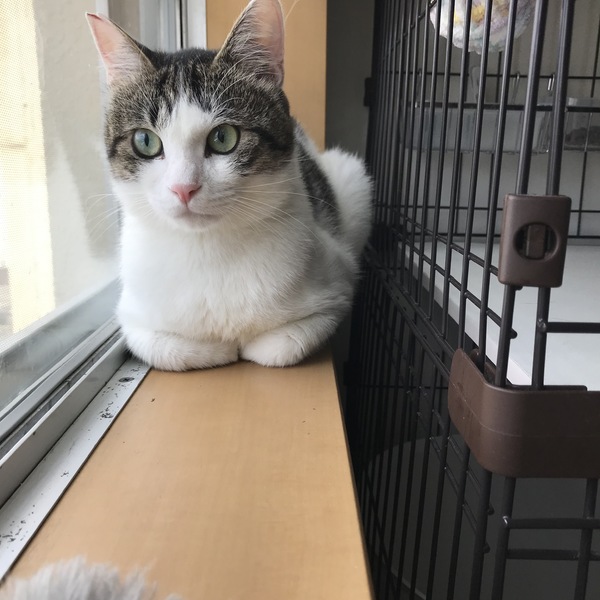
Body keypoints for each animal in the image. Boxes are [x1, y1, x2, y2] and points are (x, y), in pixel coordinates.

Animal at [87, 0, 372, 371]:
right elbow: (165, 347)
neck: (207, 251)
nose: (184, 188)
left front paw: (244, 345)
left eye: (223, 137)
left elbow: (282, 345)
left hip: (354, 178)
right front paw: (215, 348)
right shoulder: (132, 318)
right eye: (145, 141)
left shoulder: (338, 286)